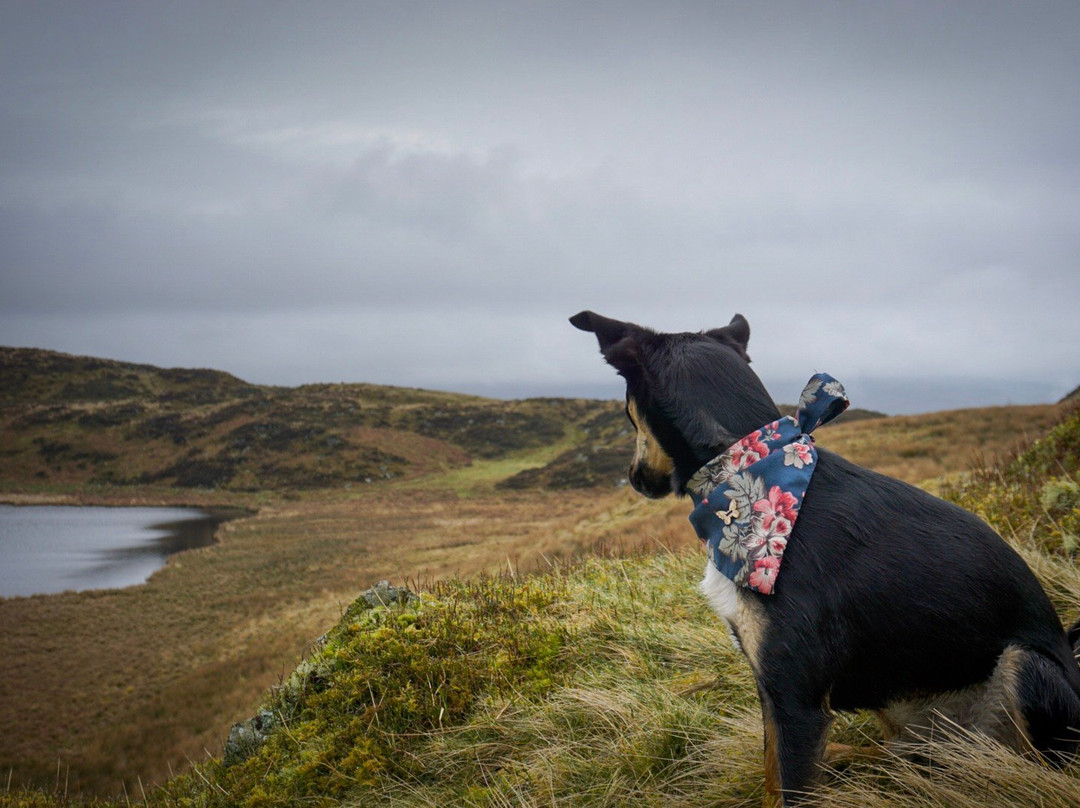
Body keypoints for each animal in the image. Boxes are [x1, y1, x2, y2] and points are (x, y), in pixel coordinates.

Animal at [570, 311, 1080, 808]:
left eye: (626, 413)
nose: (634, 477)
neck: (744, 467)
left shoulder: (796, 700)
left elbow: (789, 790)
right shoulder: (772, 691)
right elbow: (771, 776)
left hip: (1027, 671)